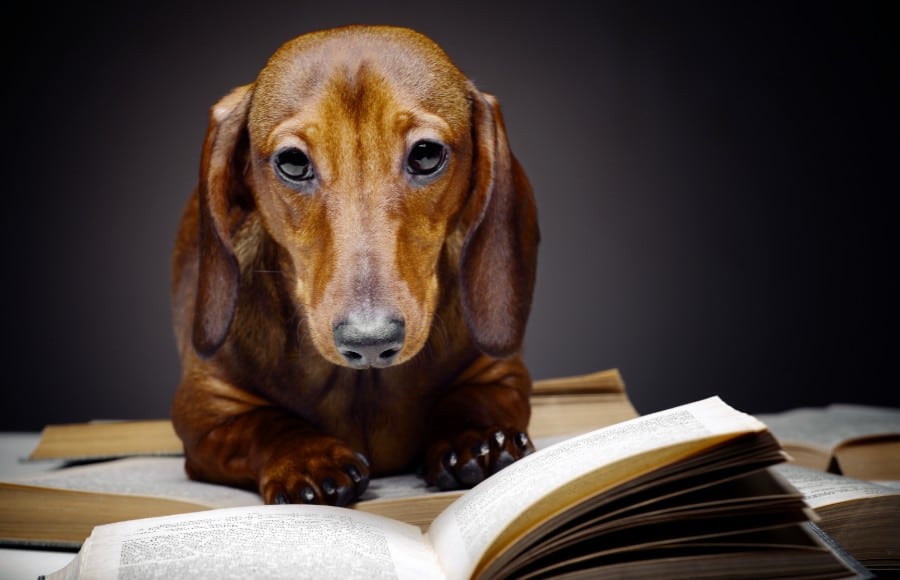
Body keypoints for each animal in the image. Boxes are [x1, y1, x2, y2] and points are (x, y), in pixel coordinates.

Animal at [171, 24, 536, 506]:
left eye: (426, 154)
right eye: (292, 162)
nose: (370, 341)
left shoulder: (500, 375)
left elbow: (473, 399)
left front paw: (477, 438)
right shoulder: (206, 410)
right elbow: (264, 424)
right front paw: (307, 457)